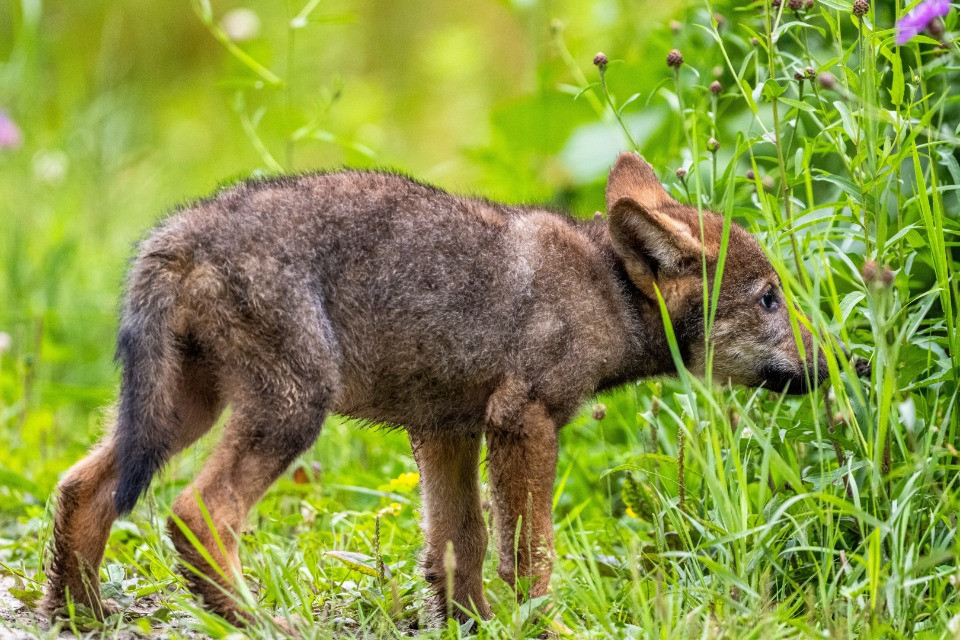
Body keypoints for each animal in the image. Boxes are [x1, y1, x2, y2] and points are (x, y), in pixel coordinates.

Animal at [42, 151, 849, 626]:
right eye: (769, 299)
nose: (846, 364)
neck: (607, 289)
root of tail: (179, 232)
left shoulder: (447, 429)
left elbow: (459, 546)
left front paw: (477, 626)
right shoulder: (524, 421)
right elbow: (528, 554)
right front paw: (539, 625)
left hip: (183, 411)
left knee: (81, 488)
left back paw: (81, 617)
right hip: (288, 411)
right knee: (197, 515)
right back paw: (261, 623)